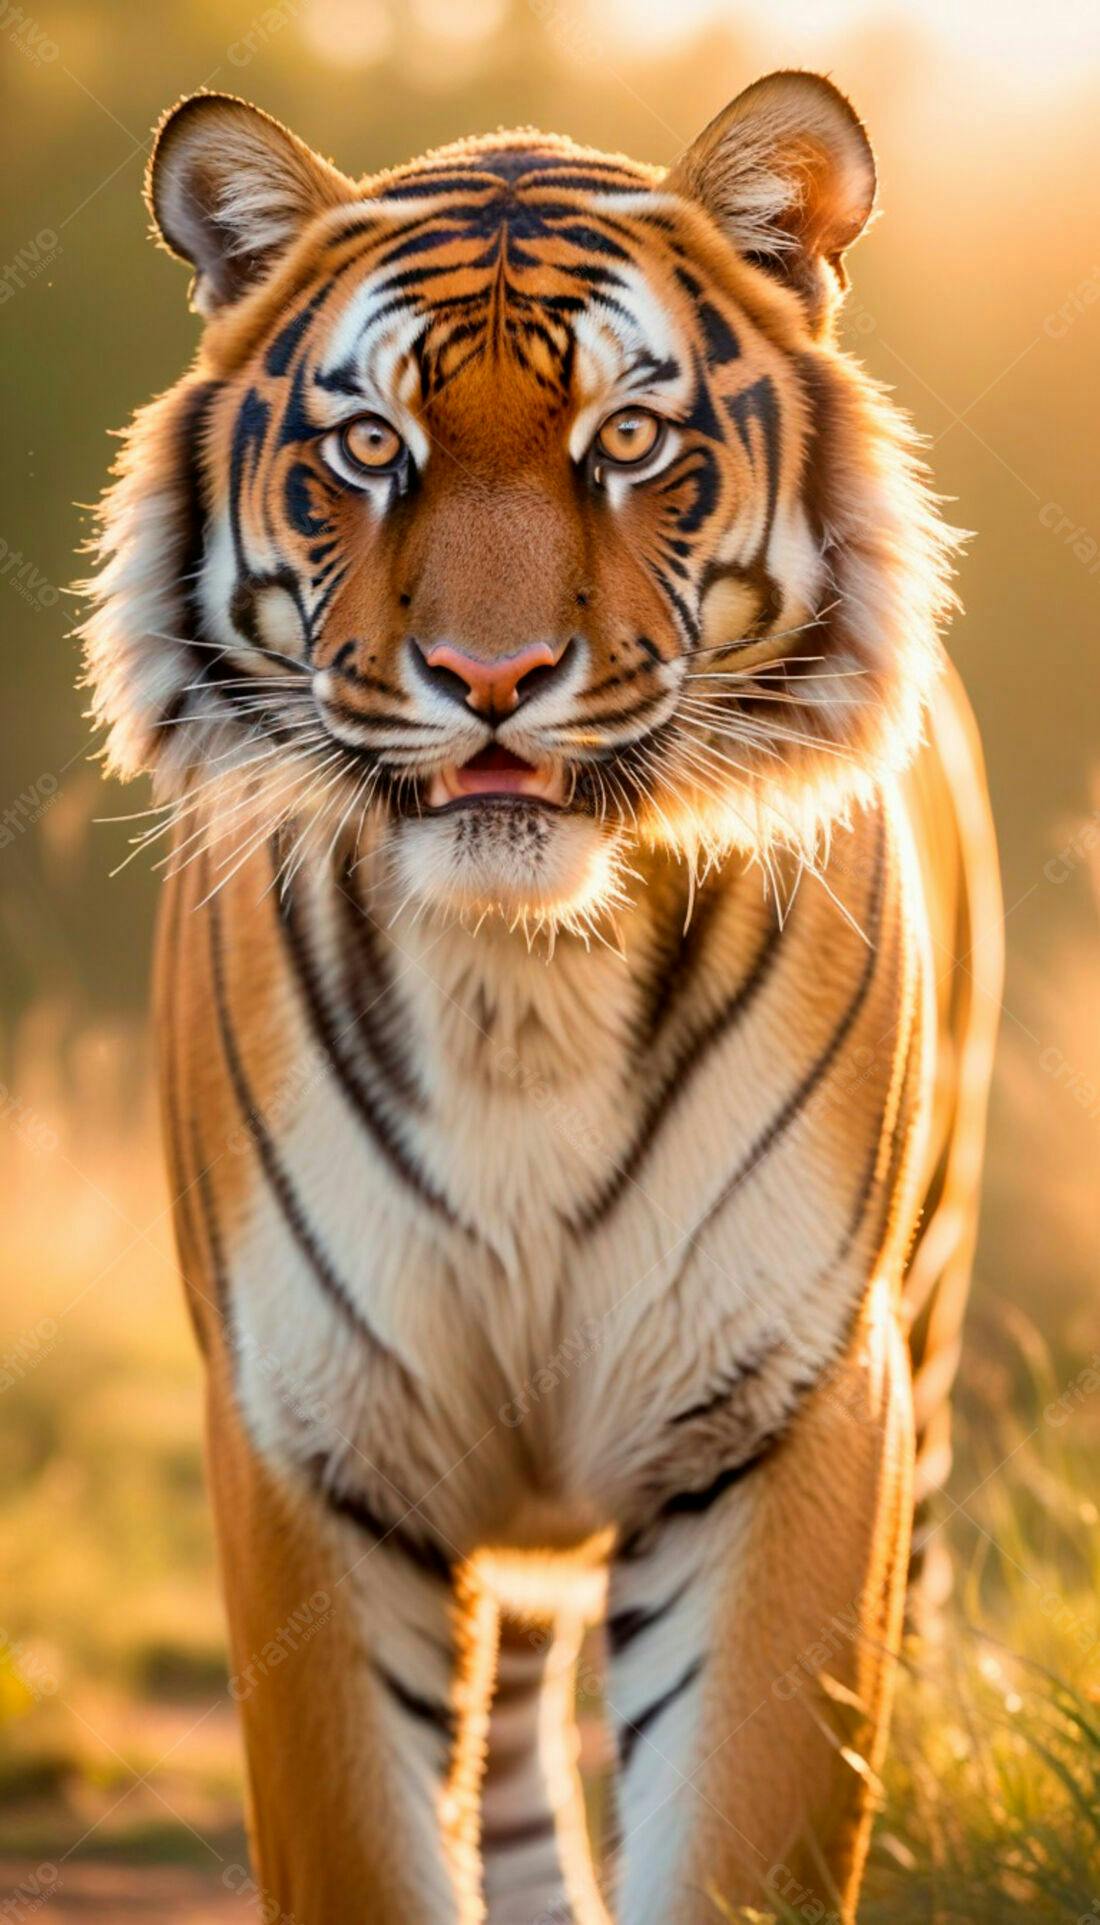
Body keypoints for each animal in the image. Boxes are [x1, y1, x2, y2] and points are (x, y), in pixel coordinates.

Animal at [80, 72, 1002, 1925]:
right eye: (371, 449)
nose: (489, 681)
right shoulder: (310, 1441)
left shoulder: (787, 1412)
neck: (527, 984)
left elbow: (740, 1843)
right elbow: (369, 1849)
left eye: (628, 442)